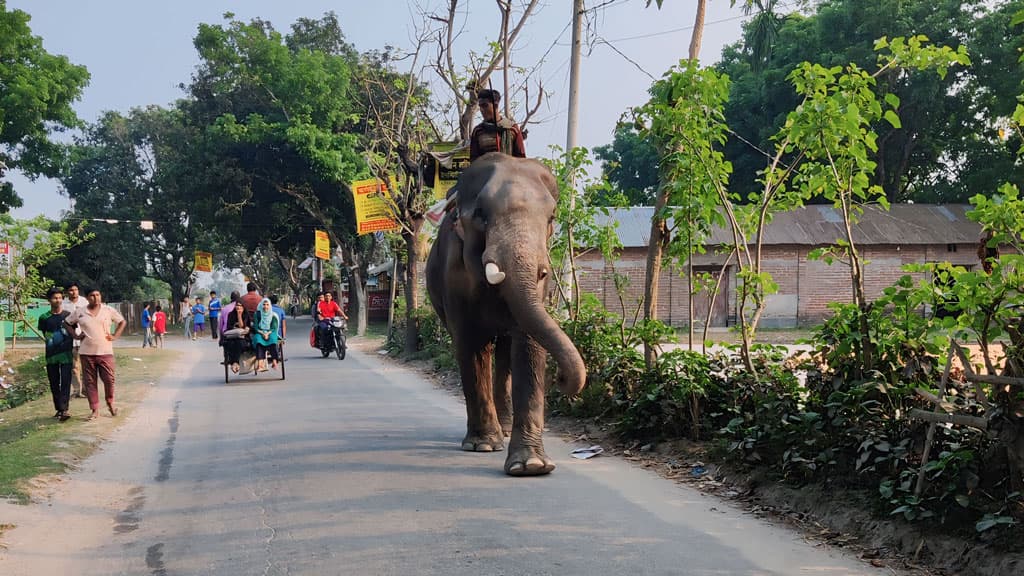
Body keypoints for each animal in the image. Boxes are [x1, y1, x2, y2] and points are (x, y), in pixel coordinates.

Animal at [423, 152, 585, 475]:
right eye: (481, 214)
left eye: (551, 218)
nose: (562, 379)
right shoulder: (454, 277)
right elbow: (471, 345)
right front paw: (483, 446)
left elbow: (529, 344)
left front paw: (532, 465)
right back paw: (490, 435)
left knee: (506, 350)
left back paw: (506, 427)